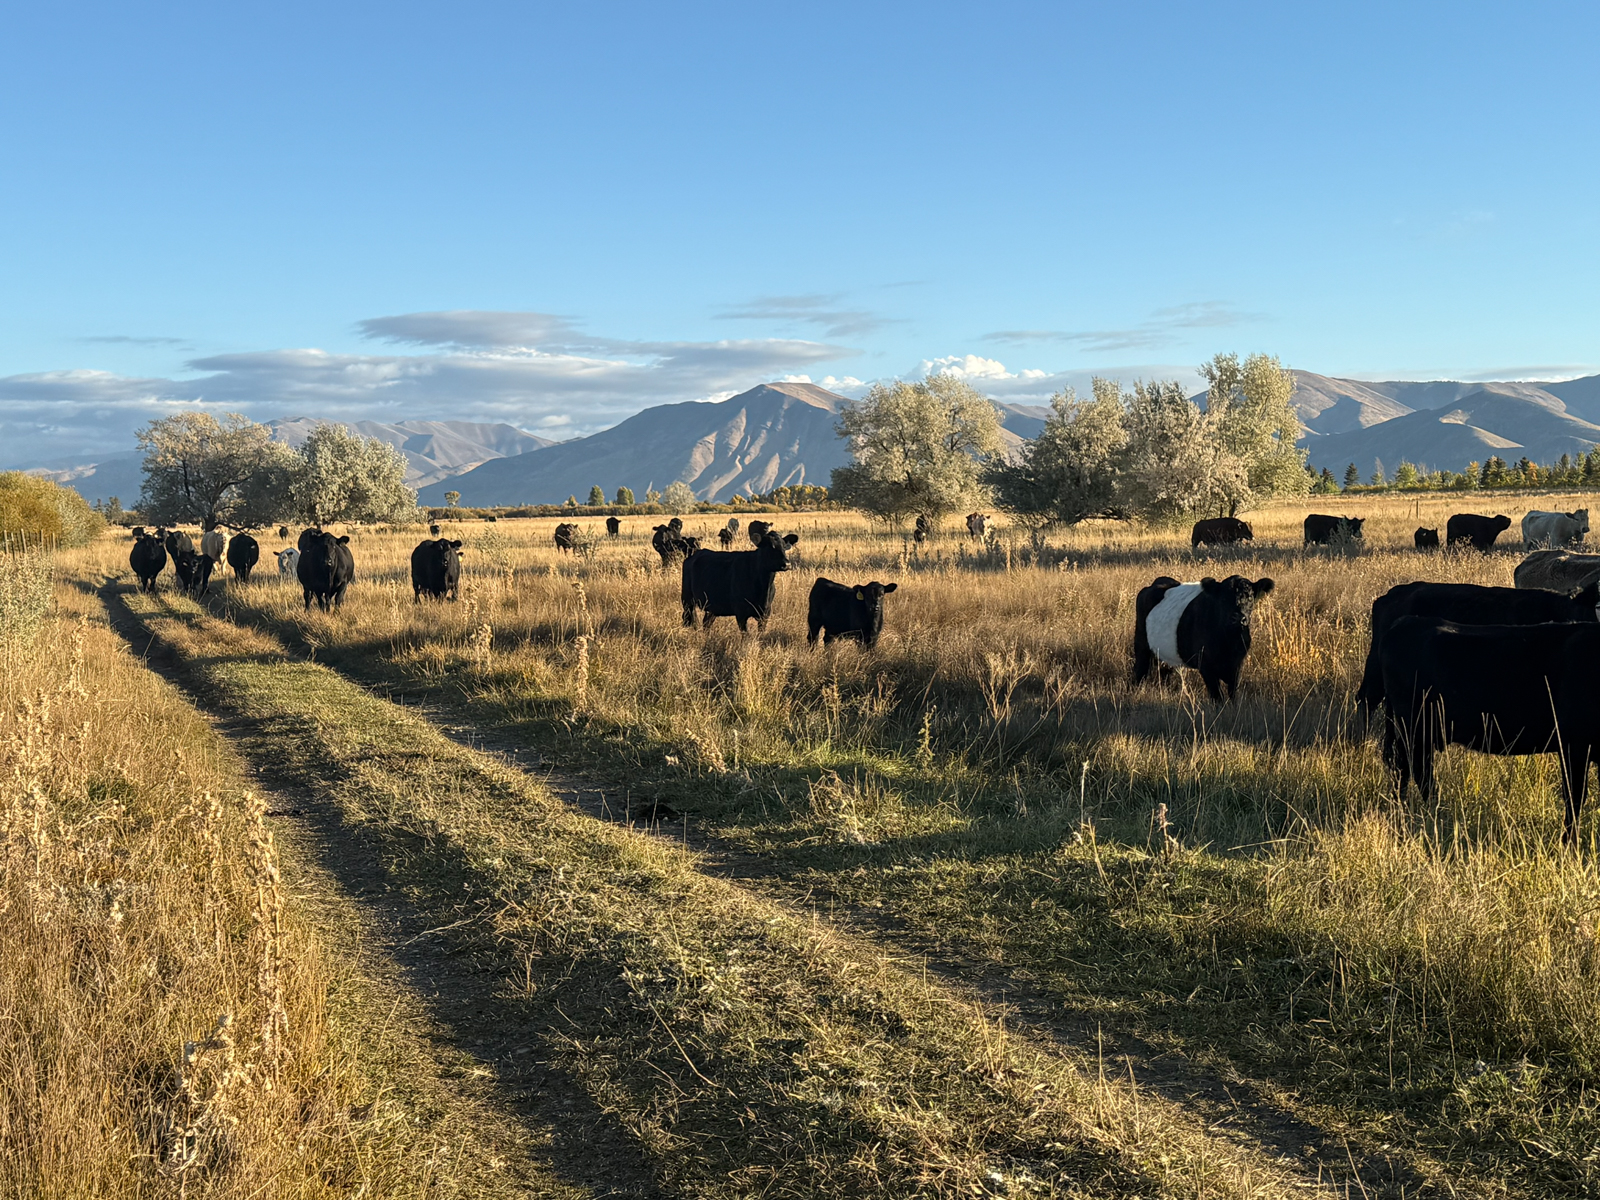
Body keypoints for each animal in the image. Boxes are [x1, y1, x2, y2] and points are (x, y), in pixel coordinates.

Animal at [1132, 575, 1275, 702]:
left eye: (1250, 597)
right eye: (1223, 598)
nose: (1238, 618)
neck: (1229, 640)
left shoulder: (1237, 664)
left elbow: (1234, 694)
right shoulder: (1206, 666)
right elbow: (1217, 697)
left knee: (1165, 673)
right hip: (1141, 643)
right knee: (1140, 670)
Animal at [1378, 616, 1600, 843]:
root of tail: (1406, 622)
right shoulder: (1574, 745)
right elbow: (1574, 796)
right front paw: (1569, 843)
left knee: (1410, 771)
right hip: (1414, 729)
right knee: (1412, 772)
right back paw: (1429, 814)